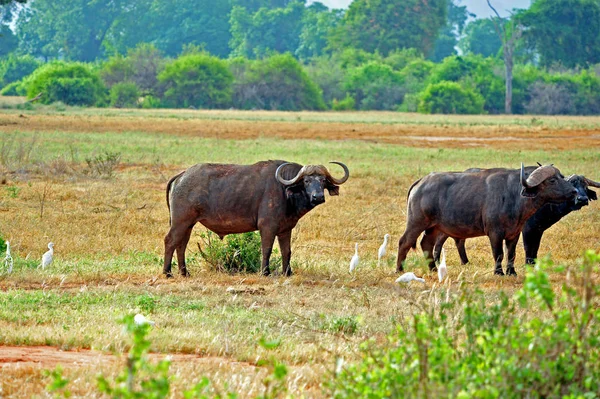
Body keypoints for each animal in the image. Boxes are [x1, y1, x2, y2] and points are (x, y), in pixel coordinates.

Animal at [164, 159, 352, 278]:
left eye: (323, 180)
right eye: (306, 181)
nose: (318, 197)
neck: (285, 191)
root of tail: (182, 175)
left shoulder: (285, 230)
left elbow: (286, 251)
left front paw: (287, 272)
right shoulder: (267, 227)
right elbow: (266, 249)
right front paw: (265, 272)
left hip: (188, 224)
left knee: (181, 244)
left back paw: (184, 272)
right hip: (181, 221)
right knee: (170, 241)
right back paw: (167, 272)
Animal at [398, 164, 576, 276]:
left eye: (561, 176)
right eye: (552, 180)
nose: (574, 191)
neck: (513, 196)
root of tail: (421, 182)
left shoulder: (514, 233)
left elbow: (511, 254)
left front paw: (511, 272)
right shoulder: (495, 233)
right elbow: (498, 254)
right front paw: (499, 272)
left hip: (434, 227)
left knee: (426, 244)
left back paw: (433, 269)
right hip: (416, 222)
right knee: (404, 242)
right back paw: (399, 269)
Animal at [434, 173, 596, 268]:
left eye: (585, 186)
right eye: (573, 184)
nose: (582, 199)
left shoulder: (538, 230)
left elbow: (535, 248)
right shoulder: (527, 230)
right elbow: (527, 247)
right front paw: (528, 264)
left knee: (455, 240)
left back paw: (459, 262)